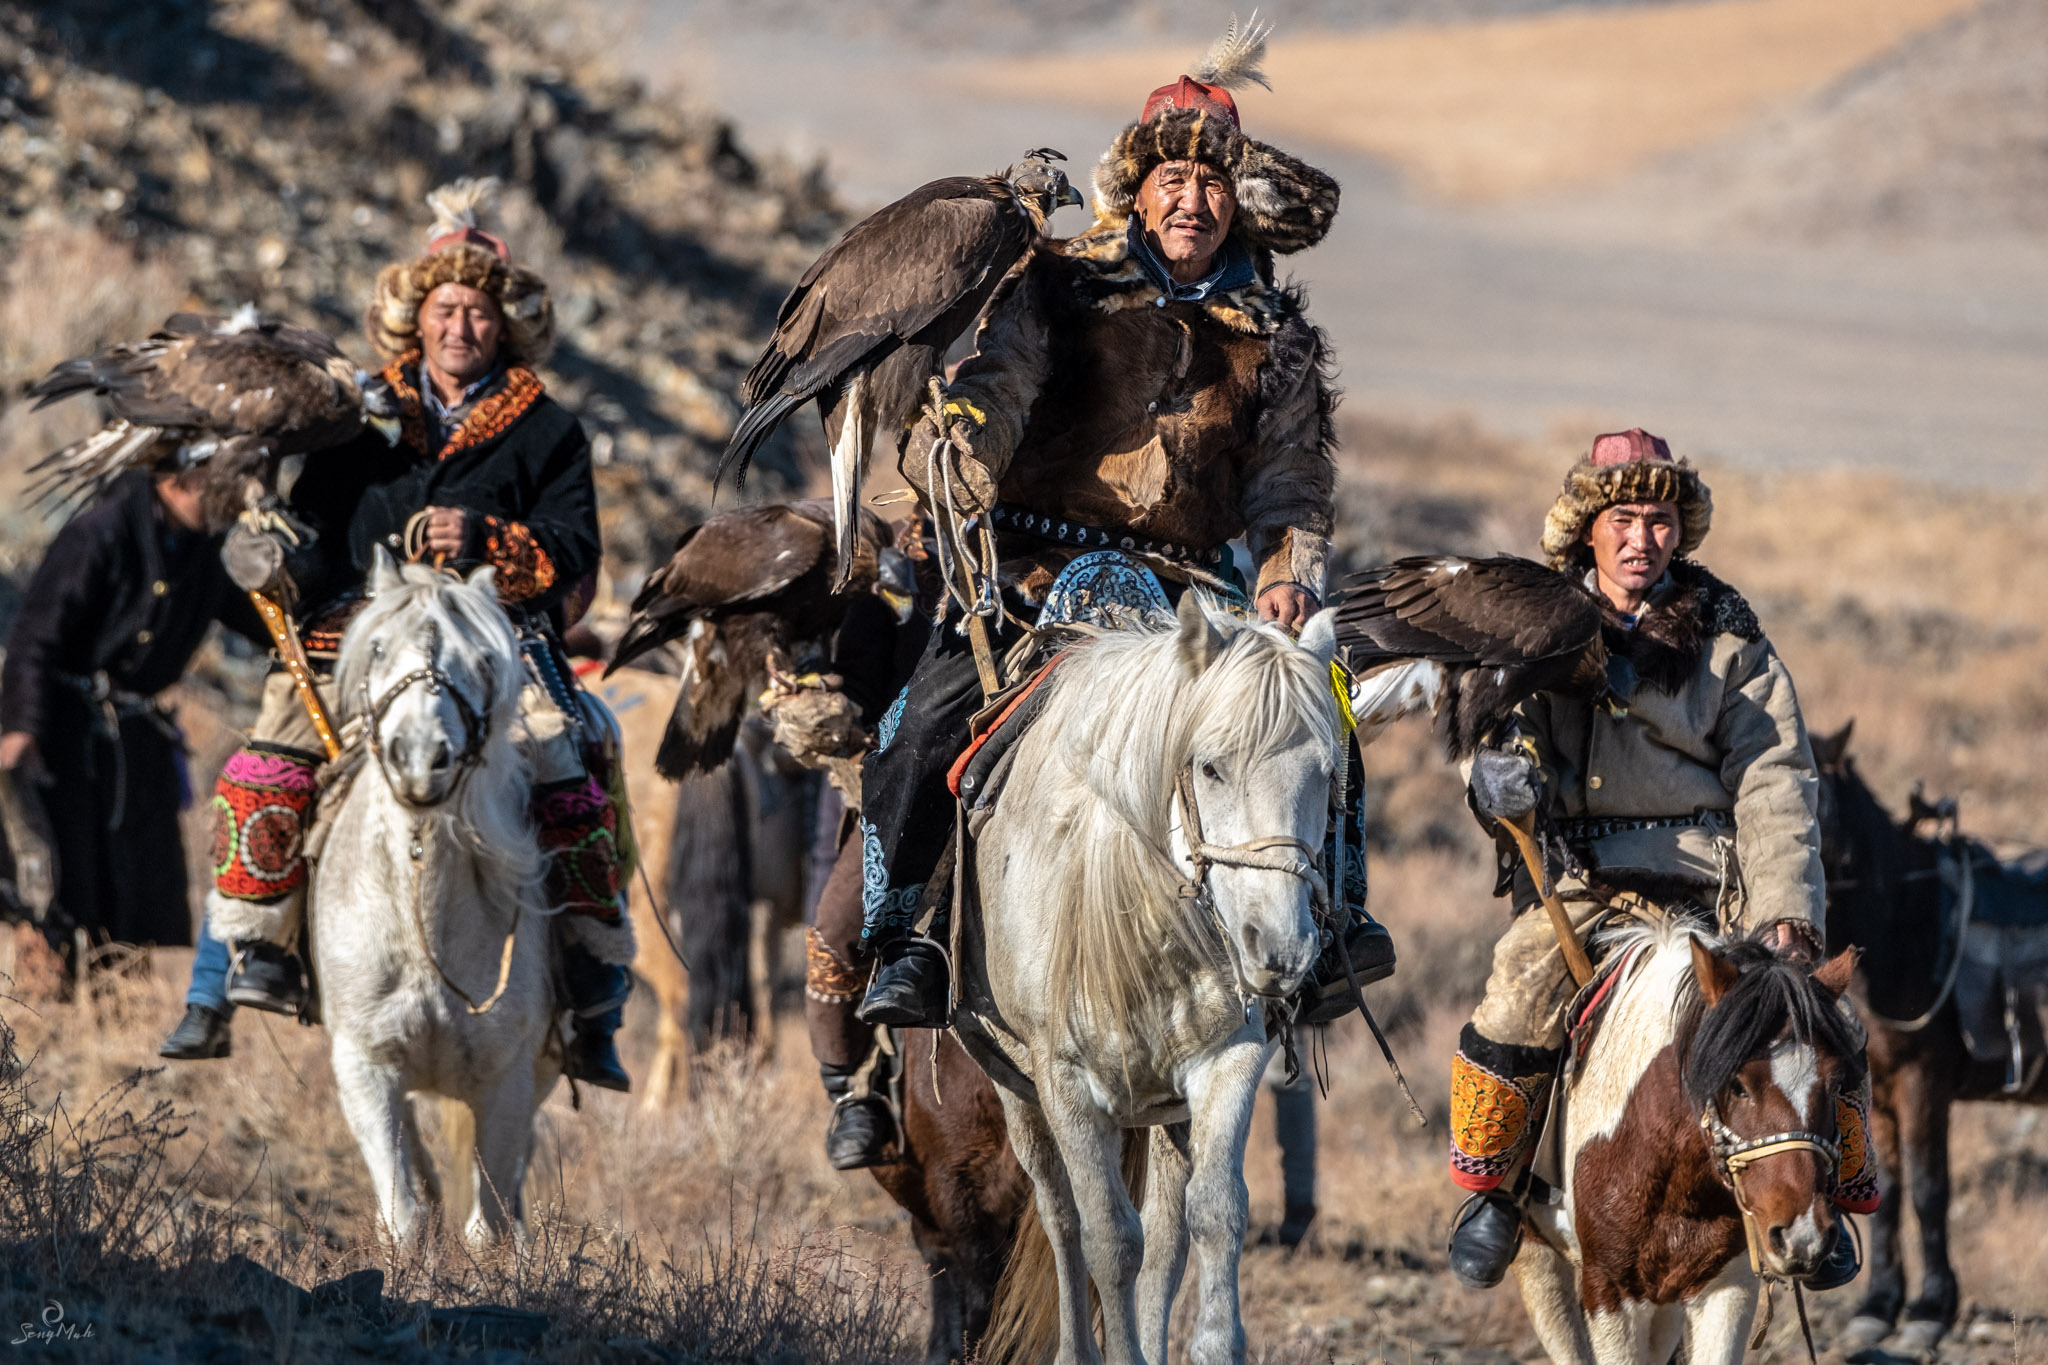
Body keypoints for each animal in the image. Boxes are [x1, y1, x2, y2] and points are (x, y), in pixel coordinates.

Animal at [311, 552, 557, 1252]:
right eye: (377, 648)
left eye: (483, 660)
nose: (420, 759)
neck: (424, 934)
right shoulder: (366, 1067)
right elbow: (404, 1215)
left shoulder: (507, 1081)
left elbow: (489, 1222)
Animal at [962, 593, 1343, 1365]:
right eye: (1210, 768)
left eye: (1326, 772)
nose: (1281, 950)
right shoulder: (1067, 1084)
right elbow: (1108, 1238)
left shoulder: (1229, 1060)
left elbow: (1215, 1215)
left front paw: (1217, 1345)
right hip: (1017, 1088)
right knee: (1061, 1217)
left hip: (1165, 1110)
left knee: (1166, 1235)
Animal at [1515, 916, 1867, 1365]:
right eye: (1737, 1085)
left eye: (1836, 1083)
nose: (1801, 1236)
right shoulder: (1608, 1290)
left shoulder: (1728, 1285)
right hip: (1539, 1259)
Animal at [1810, 724, 2048, 1358]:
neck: (1901, 927)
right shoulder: (1880, 1093)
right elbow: (1887, 1196)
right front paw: (1879, 1307)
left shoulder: (1924, 1085)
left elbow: (1927, 1191)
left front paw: (1929, 1311)